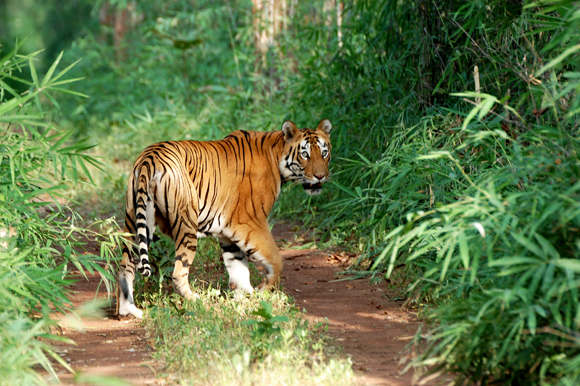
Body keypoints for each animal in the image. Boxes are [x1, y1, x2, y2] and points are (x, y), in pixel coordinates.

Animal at [116, 119, 334, 318]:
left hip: (135, 222)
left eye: (324, 153)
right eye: (304, 154)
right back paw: (199, 303)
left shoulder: (228, 233)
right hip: (186, 223)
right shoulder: (251, 222)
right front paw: (262, 291)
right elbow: (276, 259)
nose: (321, 176)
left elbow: (239, 268)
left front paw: (246, 299)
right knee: (178, 273)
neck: (276, 153)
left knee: (125, 266)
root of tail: (149, 158)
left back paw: (128, 311)